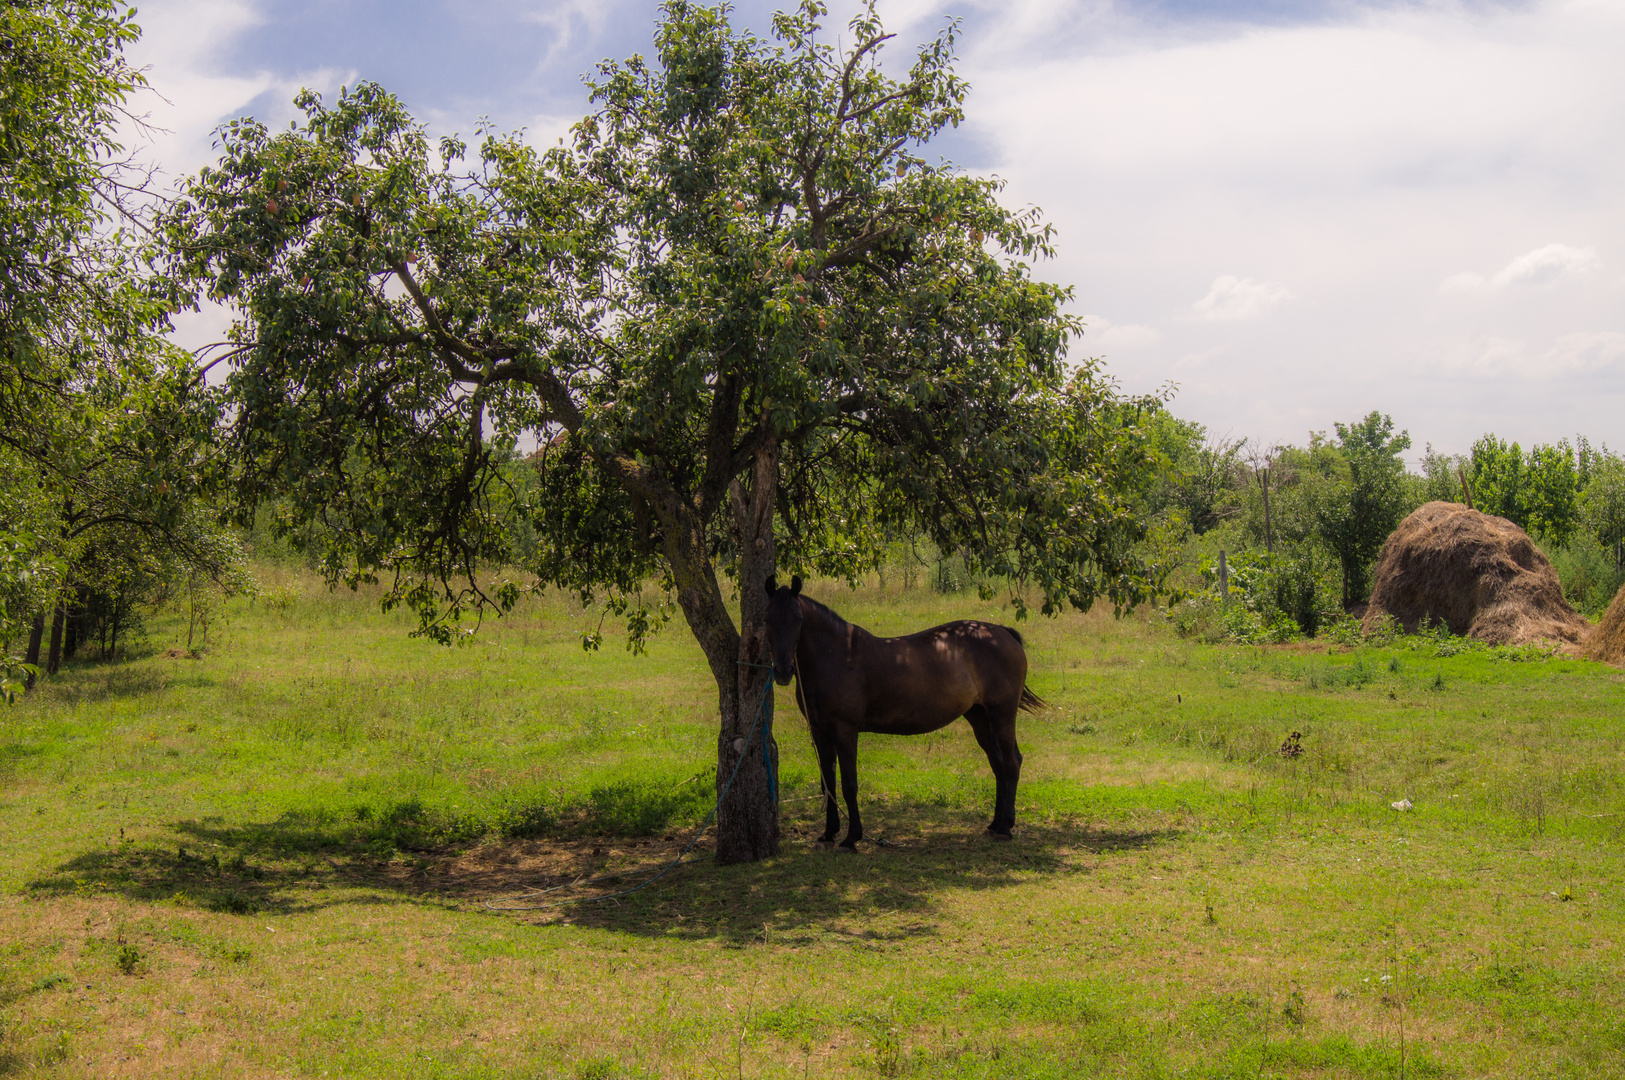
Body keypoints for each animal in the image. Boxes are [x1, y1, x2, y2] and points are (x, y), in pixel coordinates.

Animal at [760, 578, 1040, 844]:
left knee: (1011, 762)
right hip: (980, 717)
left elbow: (849, 784)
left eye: (798, 619)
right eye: (767, 619)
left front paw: (852, 837)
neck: (837, 655)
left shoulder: (845, 730)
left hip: (1002, 714)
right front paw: (829, 833)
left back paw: (1005, 827)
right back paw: (995, 824)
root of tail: (1002, 632)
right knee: (998, 764)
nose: (783, 670)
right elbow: (827, 782)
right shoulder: (820, 731)